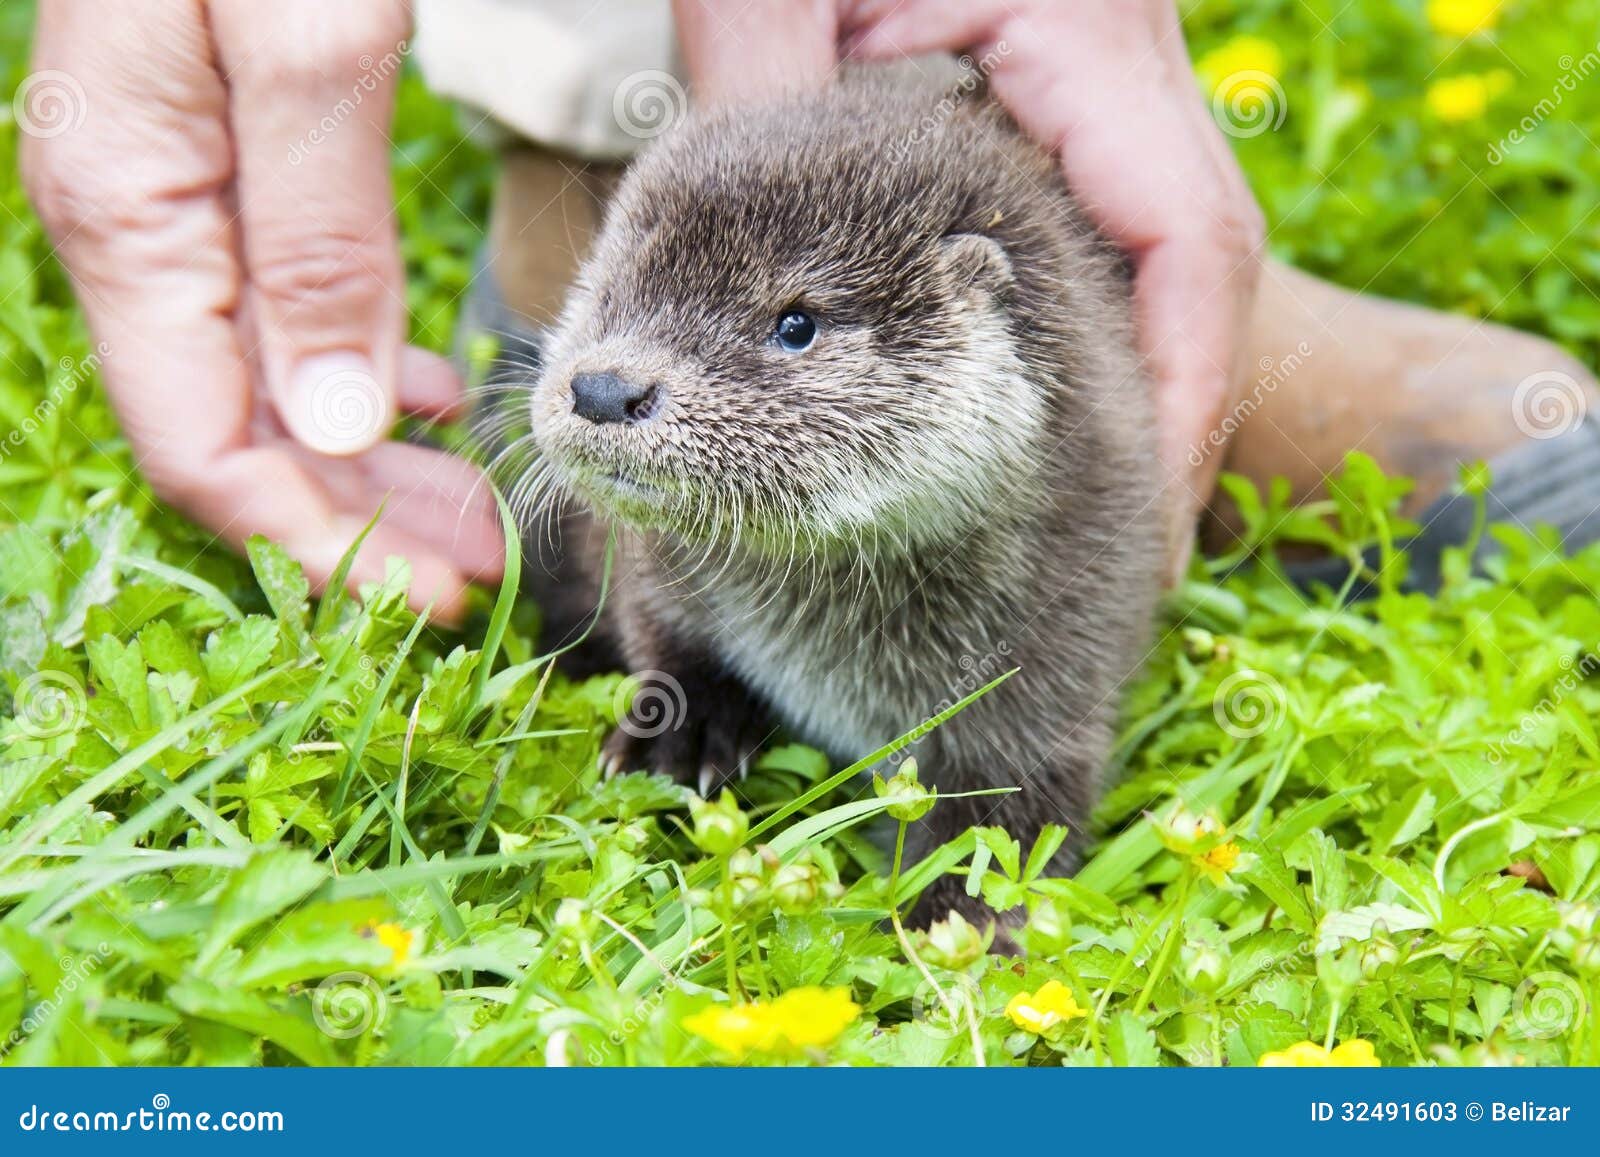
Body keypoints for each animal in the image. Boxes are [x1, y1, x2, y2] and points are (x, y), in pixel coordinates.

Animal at [524, 63, 1164, 921]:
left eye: (797, 324)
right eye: (608, 289)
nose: (602, 387)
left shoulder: (1062, 646)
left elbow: (1003, 823)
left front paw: (953, 922)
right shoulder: (656, 572)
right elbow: (666, 640)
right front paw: (677, 738)